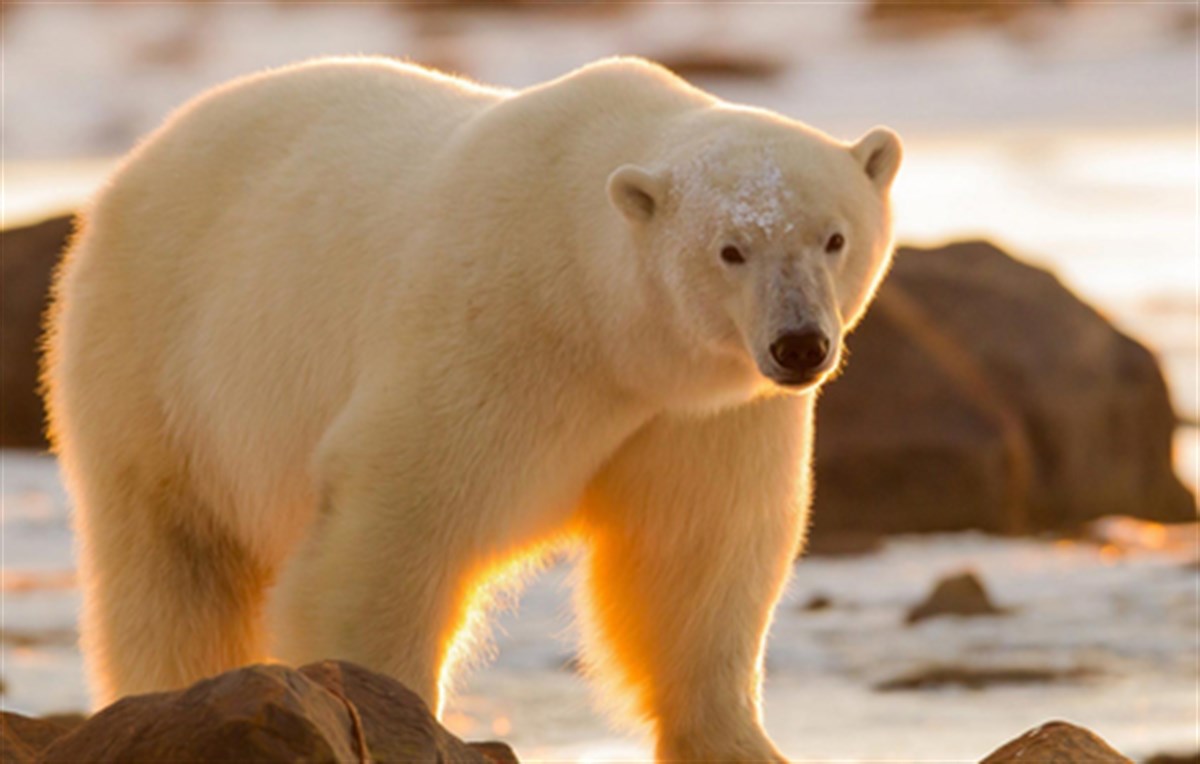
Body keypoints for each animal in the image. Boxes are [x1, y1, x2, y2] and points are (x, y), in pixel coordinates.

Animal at [42, 56, 901, 762]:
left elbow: (697, 554)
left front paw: (741, 743)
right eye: (731, 250)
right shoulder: (492, 331)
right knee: (174, 564)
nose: (800, 344)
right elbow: (395, 525)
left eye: (833, 238)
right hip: (157, 362)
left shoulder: (701, 414)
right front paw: (392, 715)